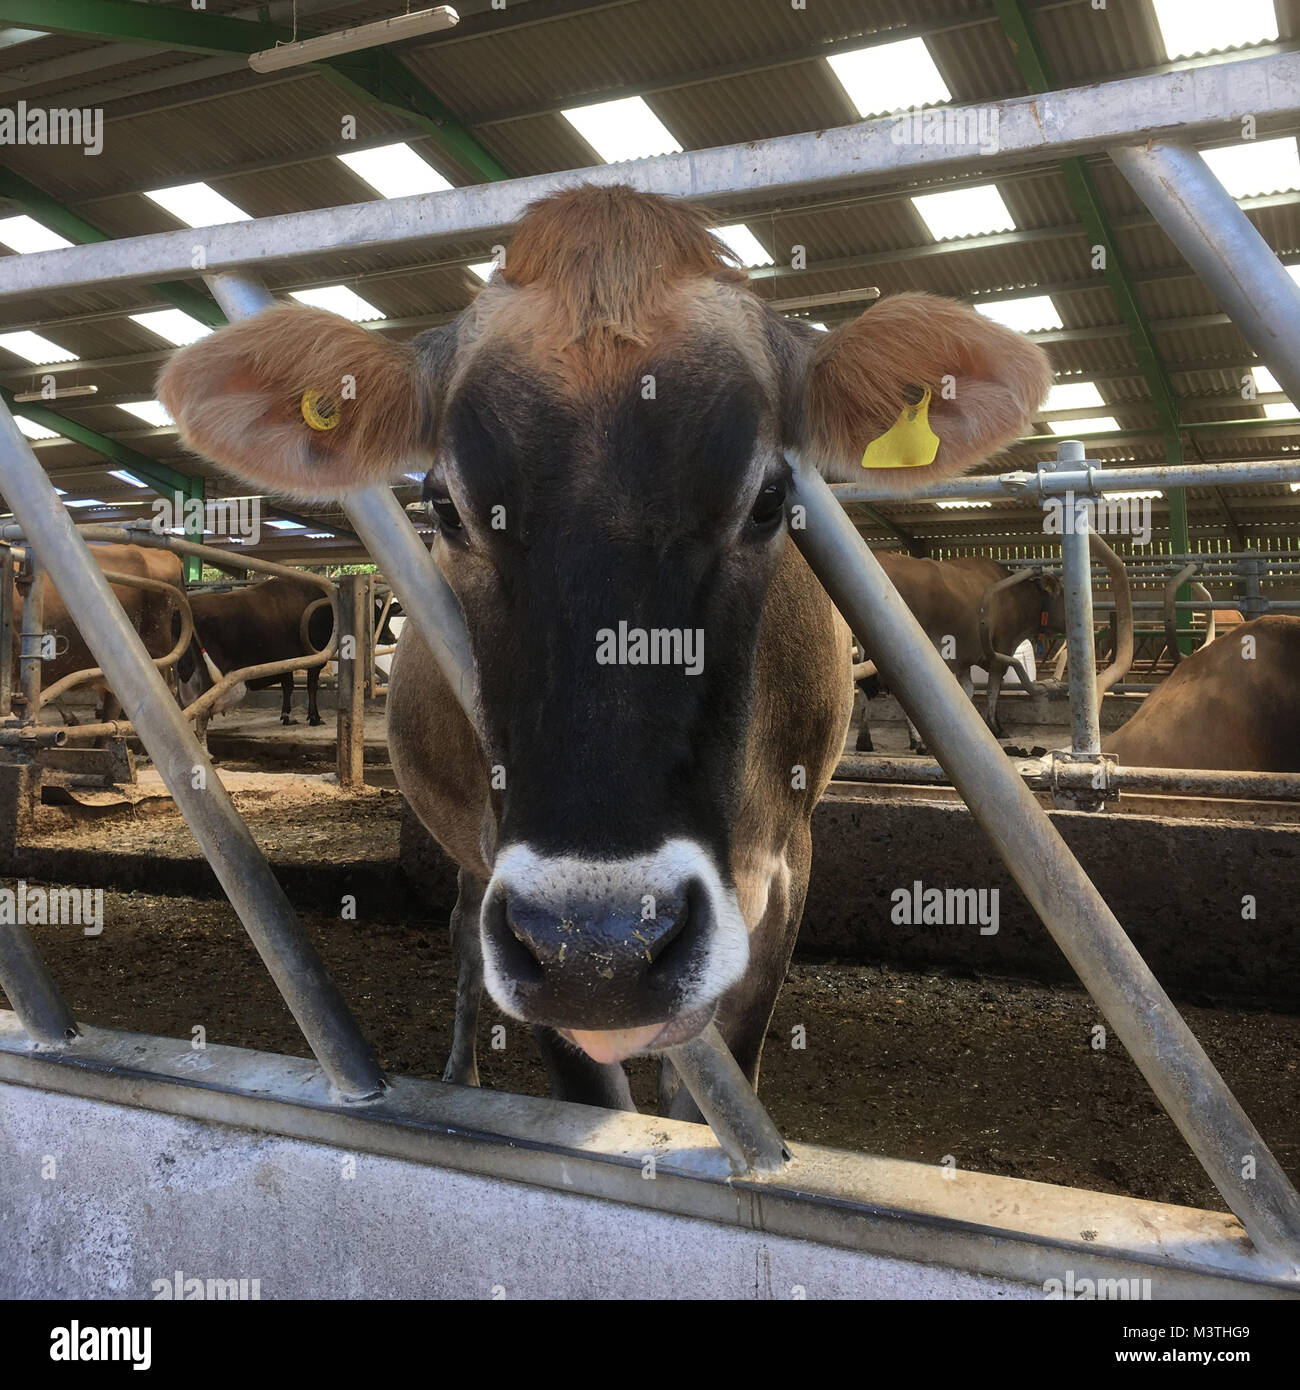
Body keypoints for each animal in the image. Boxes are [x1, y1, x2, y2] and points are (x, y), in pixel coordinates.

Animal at [155, 184, 1045, 1117]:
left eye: (770, 497)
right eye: (445, 506)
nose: (602, 944)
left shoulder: (786, 873)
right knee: (463, 935)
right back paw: (462, 1072)